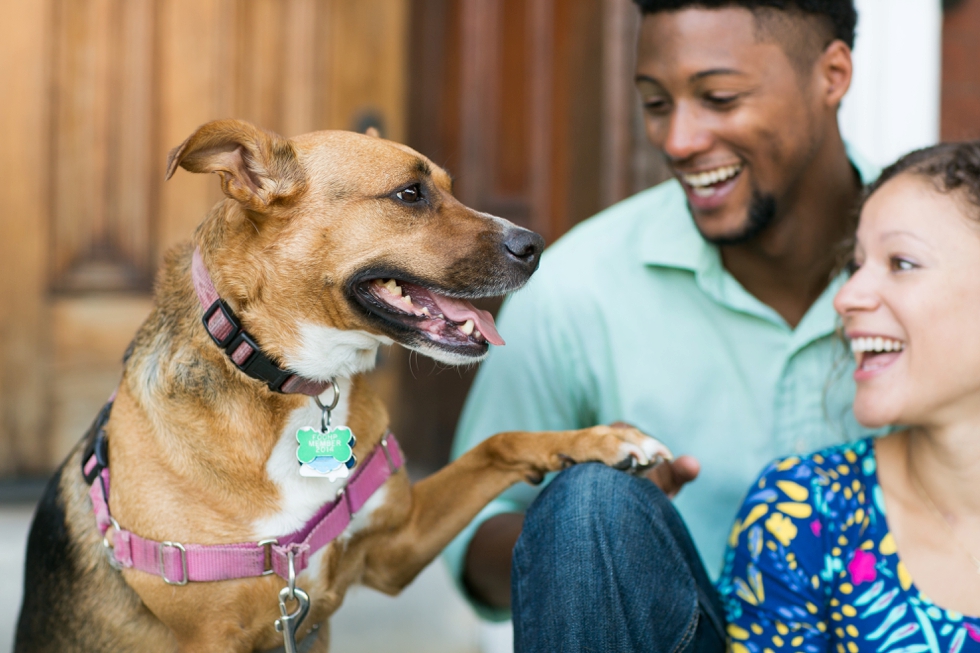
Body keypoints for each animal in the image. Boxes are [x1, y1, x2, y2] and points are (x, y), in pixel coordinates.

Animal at [15, 119, 668, 648]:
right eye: (409, 194)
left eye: (449, 186)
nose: (535, 246)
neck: (294, 385)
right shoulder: (213, 634)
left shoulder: (396, 545)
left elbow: (497, 443)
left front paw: (602, 440)